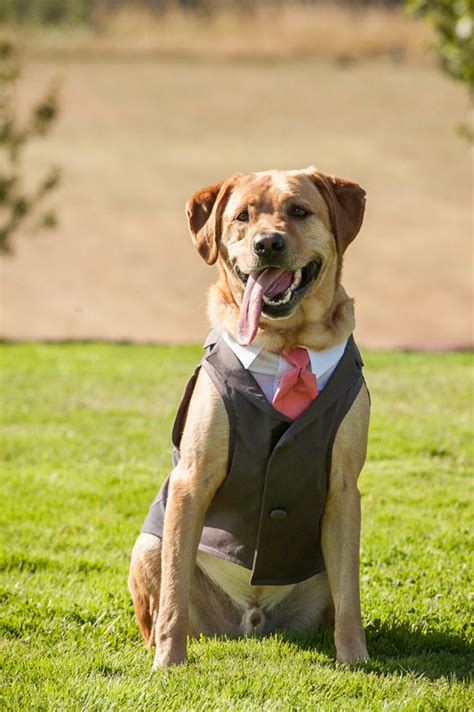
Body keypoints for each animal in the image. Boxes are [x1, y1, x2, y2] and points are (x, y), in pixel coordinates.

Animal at [130, 170, 370, 672]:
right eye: (242, 216)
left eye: (299, 211)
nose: (268, 244)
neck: (287, 346)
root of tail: (251, 621)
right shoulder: (192, 480)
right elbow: (174, 594)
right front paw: (169, 662)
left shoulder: (344, 489)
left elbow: (351, 599)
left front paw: (355, 658)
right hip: (148, 546)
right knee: (161, 605)